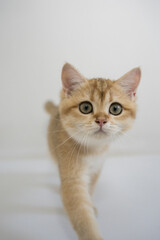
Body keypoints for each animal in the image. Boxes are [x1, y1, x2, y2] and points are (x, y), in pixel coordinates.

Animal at [44, 63, 141, 240]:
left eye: (115, 108)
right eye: (85, 107)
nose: (101, 120)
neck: (93, 150)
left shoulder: (97, 169)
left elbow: (90, 189)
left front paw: (91, 204)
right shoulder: (72, 180)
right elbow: (82, 217)